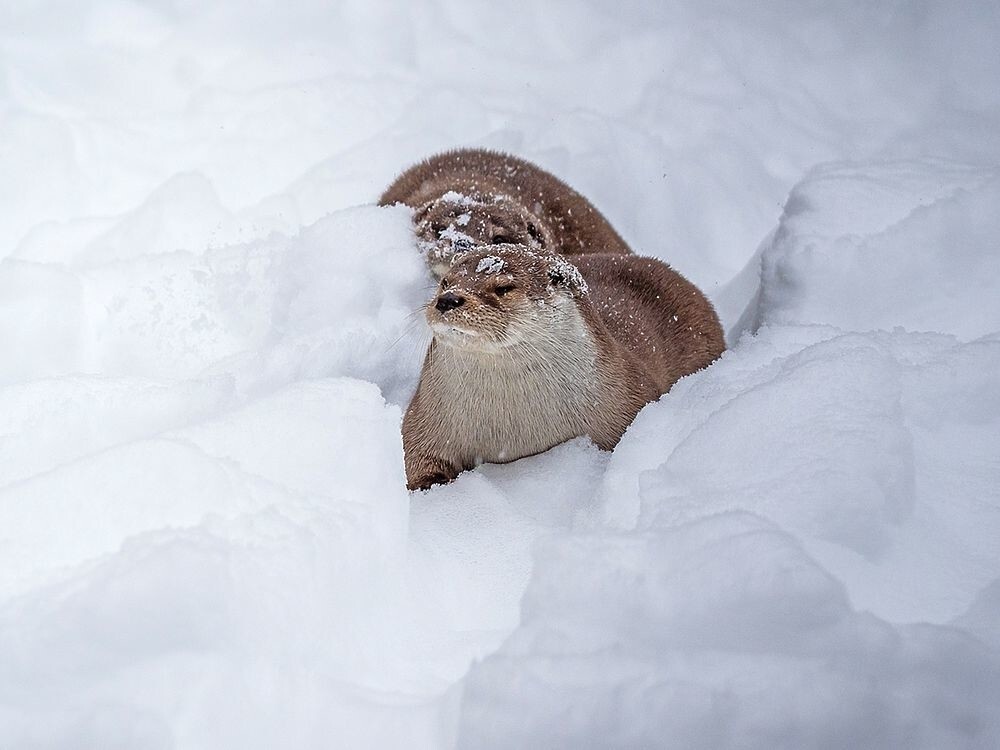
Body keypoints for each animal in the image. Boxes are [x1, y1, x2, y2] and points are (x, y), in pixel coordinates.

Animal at [400, 247, 728, 494]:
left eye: (503, 287)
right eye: (446, 282)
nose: (448, 299)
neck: (513, 431)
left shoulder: (630, 395)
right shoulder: (426, 416)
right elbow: (416, 456)